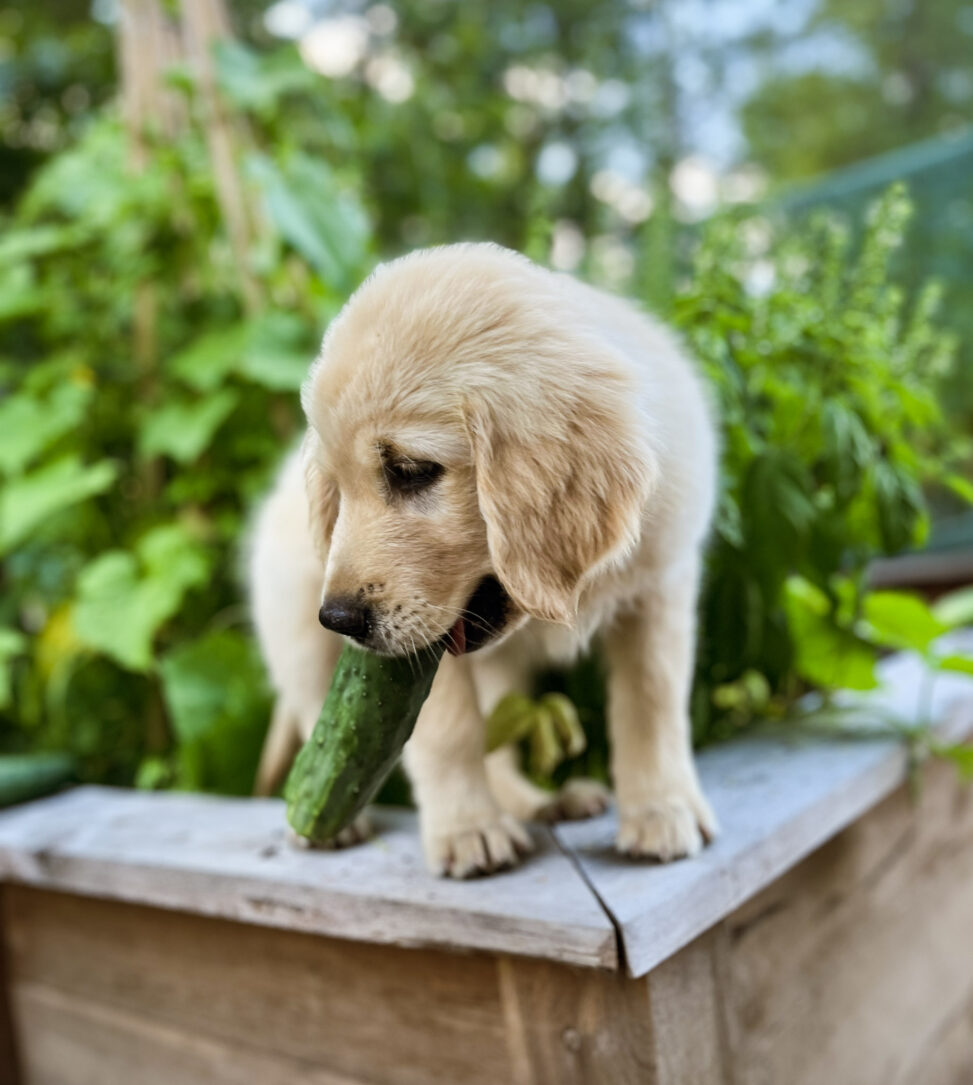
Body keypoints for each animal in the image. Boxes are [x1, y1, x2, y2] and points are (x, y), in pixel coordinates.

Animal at [250, 241, 715, 876]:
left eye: (410, 470)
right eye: (338, 490)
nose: (339, 619)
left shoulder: (661, 586)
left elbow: (652, 702)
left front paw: (662, 810)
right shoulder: (420, 647)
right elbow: (450, 732)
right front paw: (467, 828)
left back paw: (540, 803)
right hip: (295, 626)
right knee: (307, 702)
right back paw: (327, 826)